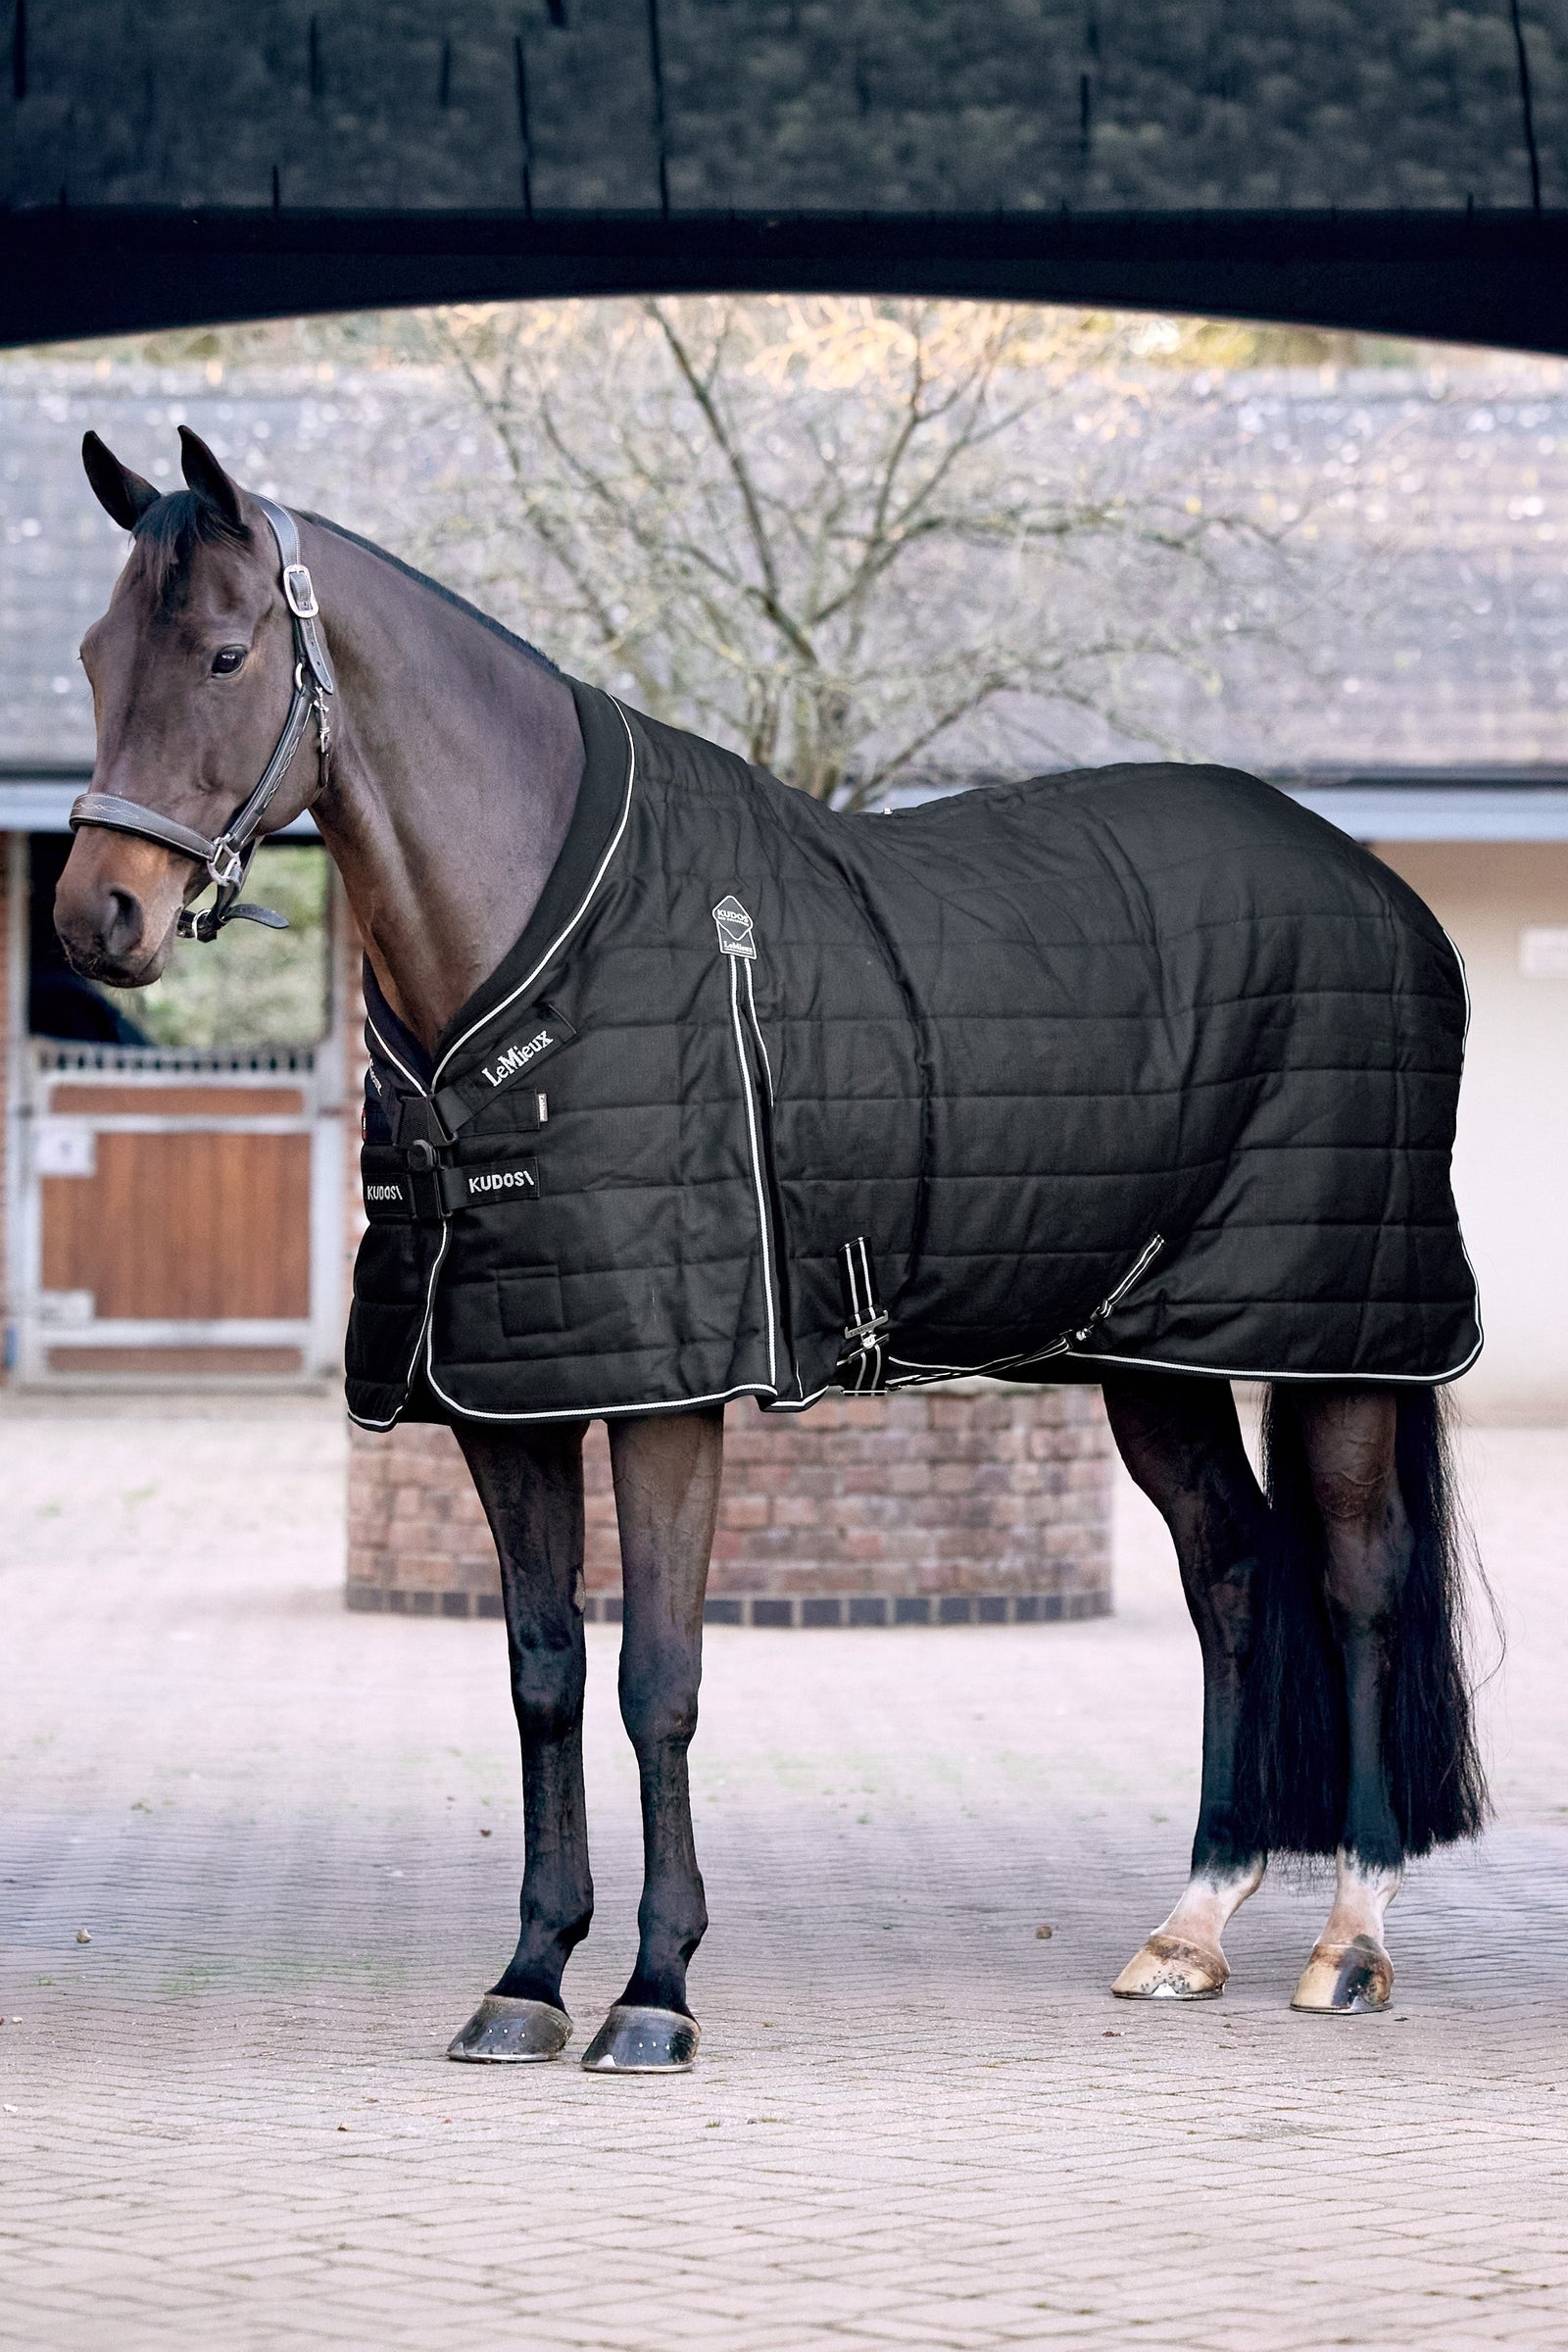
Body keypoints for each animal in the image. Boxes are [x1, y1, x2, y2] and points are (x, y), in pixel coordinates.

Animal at [55, 426, 1487, 2071]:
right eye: (94, 656)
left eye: (226, 655)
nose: (98, 916)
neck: (545, 956)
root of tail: (1381, 892)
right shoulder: (503, 1397)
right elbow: (544, 1677)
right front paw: (528, 1976)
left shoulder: (671, 1398)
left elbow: (657, 1681)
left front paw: (655, 1993)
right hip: (1159, 1357)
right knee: (1234, 1574)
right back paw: (1191, 1926)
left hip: (1342, 1341)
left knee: (1361, 1586)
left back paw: (1349, 1943)